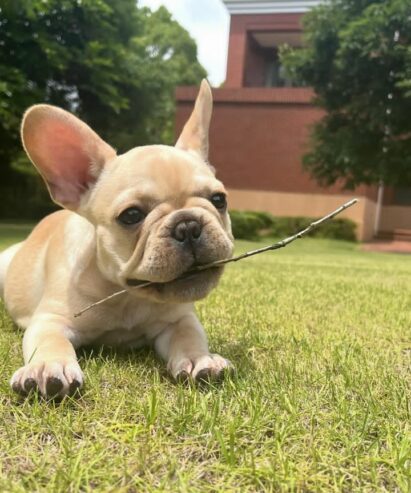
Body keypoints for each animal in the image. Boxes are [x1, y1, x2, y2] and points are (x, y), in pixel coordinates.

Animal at [0, 80, 235, 396]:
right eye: (131, 215)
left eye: (219, 199)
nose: (187, 225)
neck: (125, 294)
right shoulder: (51, 320)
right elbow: (53, 342)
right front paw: (48, 367)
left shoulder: (179, 319)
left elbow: (188, 337)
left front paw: (200, 359)